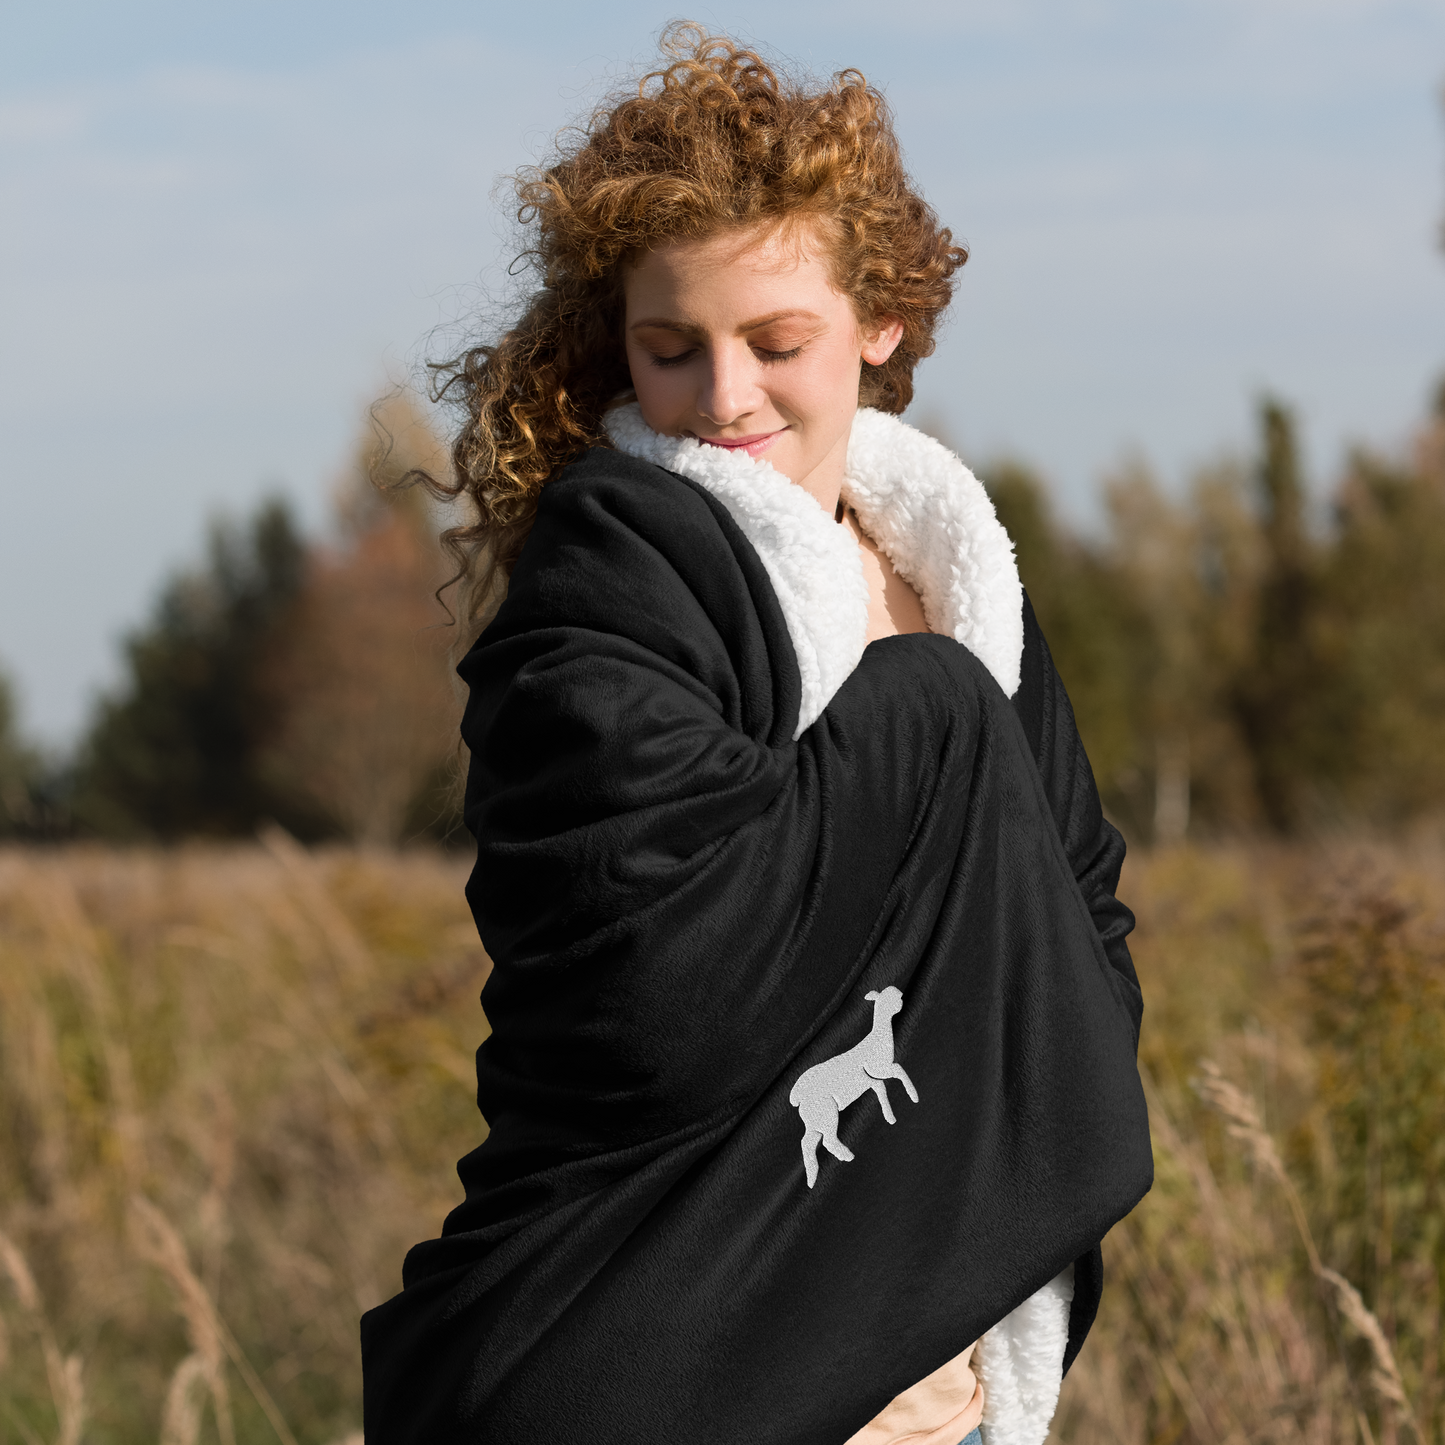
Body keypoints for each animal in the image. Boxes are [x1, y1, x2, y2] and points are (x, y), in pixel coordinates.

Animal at [789, 985, 919, 1189]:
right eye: (886, 997)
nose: (899, 994)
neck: (878, 1039)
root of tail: (796, 1097)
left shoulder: (873, 1080)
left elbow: (882, 1090)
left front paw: (890, 1117)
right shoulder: (879, 1068)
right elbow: (898, 1069)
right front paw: (913, 1096)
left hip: (814, 1121)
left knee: (807, 1142)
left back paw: (812, 1177)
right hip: (826, 1113)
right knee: (827, 1140)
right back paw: (847, 1156)